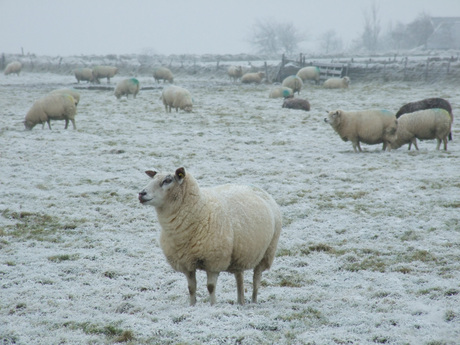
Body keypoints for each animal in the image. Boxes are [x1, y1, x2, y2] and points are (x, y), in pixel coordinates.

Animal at [138, 167, 282, 304]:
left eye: (167, 180)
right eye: (153, 179)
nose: (141, 194)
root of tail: (257, 188)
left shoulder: (214, 261)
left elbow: (211, 287)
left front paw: (213, 305)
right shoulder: (186, 263)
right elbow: (191, 288)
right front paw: (192, 305)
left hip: (267, 252)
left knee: (256, 279)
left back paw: (253, 301)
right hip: (239, 253)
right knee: (239, 278)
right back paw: (240, 302)